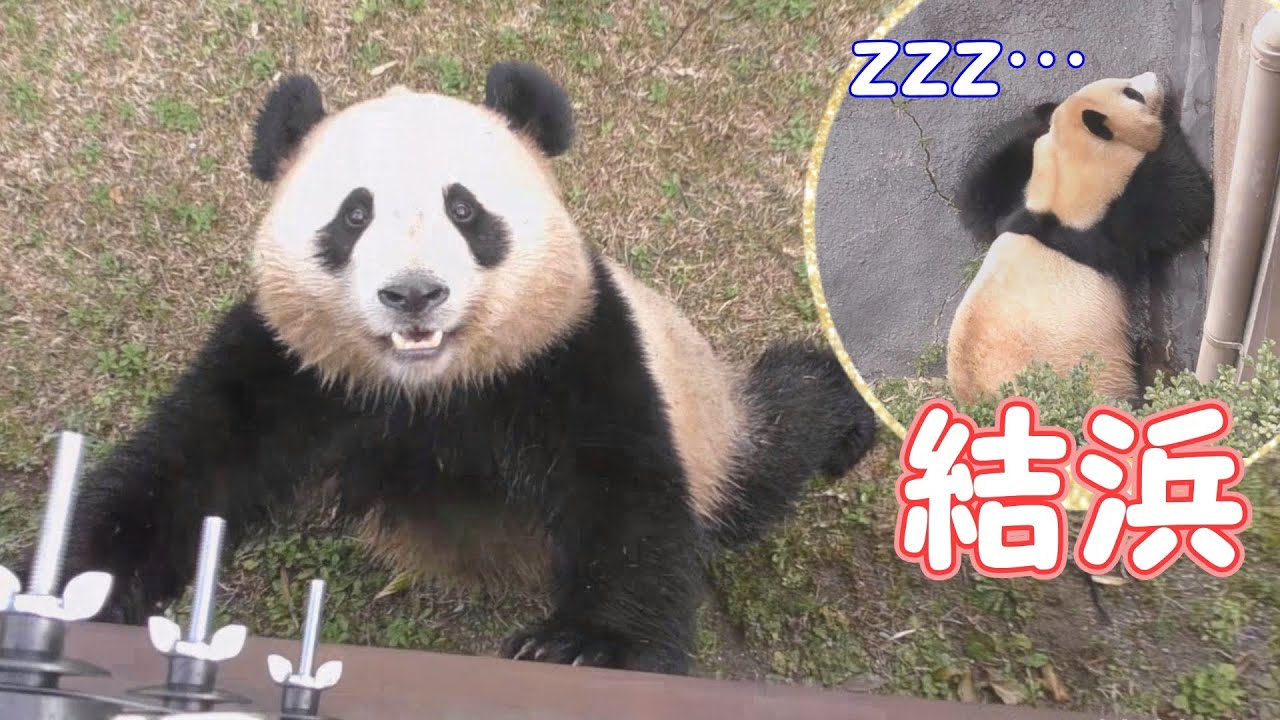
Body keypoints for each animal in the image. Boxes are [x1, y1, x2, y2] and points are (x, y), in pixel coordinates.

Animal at [31, 62, 877, 675]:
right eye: (354, 214)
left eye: (465, 210)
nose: (413, 294)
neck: (427, 390)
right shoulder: (291, 361)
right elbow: (189, 463)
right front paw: (78, 581)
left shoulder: (574, 348)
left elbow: (629, 500)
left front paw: (584, 647)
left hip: (711, 423)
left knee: (775, 441)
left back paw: (842, 414)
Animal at [946, 71, 1214, 406]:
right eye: (1131, 93)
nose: (1154, 77)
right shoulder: (1111, 219)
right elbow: (1185, 201)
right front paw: (1165, 124)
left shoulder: (1017, 202)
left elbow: (977, 192)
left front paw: (1040, 113)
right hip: (1095, 383)